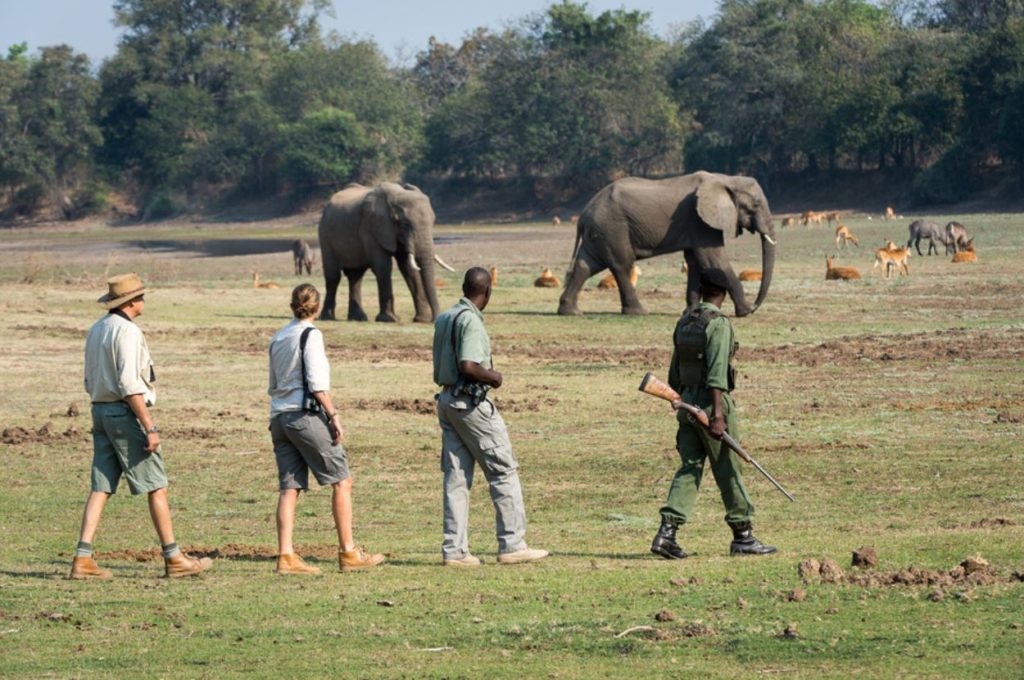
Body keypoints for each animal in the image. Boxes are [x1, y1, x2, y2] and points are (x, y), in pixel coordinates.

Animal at [315, 182, 452, 323]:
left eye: (433, 221)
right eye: (405, 224)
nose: (434, 319)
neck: (397, 195)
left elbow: (408, 268)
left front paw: (421, 319)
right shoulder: (372, 228)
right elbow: (383, 266)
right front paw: (389, 319)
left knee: (356, 277)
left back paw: (358, 318)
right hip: (324, 234)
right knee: (333, 277)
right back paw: (327, 318)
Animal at [561, 171, 774, 317]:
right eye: (756, 205)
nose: (755, 305)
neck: (726, 179)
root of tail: (583, 215)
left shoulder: (695, 225)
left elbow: (695, 262)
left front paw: (691, 311)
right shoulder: (700, 221)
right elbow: (713, 261)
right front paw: (745, 312)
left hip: (599, 232)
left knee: (585, 265)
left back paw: (570, 311)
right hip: (612, 228)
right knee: (622, 264)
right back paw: (638, 312)